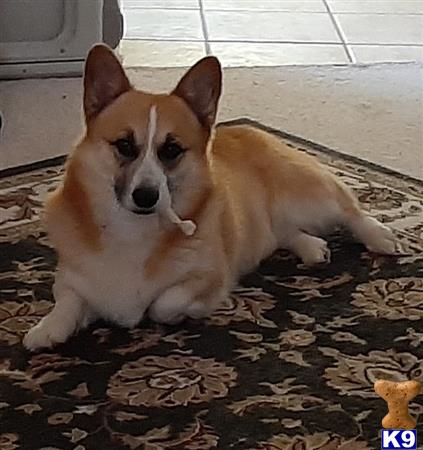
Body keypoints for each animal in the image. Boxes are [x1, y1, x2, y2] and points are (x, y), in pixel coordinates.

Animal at [24, 44, 398, 350]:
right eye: (125, 145)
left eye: (171, 150)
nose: (146, 196)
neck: (132, 231)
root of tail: (251, 130)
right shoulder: (72, 278)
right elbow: (67, 300)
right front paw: (47, 329)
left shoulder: (209, 278)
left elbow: (164, 303)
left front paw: (179, 313)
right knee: (281, 233)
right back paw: (311, 246)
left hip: (309, 196)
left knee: (349, 209)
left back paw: (379, 236)